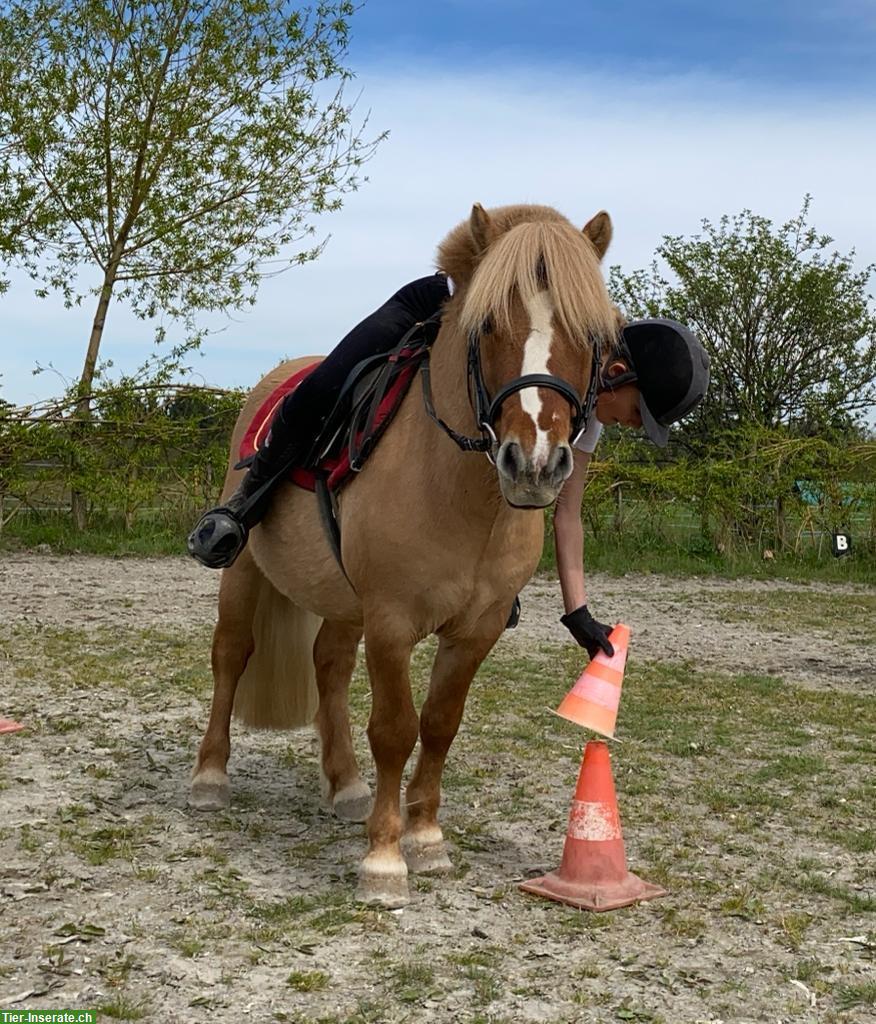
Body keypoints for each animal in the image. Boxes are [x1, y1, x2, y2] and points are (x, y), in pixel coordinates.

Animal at [189, 201, 618, 905]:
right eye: (488, 323)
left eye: (589, 333)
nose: (534, 463)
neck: (457, 491)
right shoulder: (391, 622)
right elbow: (395, 729)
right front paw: (385, 860)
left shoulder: (474, 630)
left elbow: (440, 723)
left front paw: (425, 838)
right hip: (246, 570)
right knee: (231, 654)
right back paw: (209, 778)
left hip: (342, 602)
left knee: (329, 665)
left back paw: (345, 786)